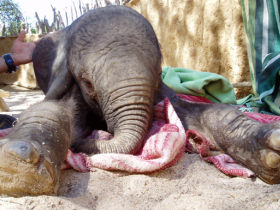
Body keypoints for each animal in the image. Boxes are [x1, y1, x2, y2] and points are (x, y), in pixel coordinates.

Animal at [0, 5, 280, 197]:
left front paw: (270, 149)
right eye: (87, 82)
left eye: (157, 72)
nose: (97, 133)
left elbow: (199, 110)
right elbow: (50, 108)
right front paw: (19, 171)